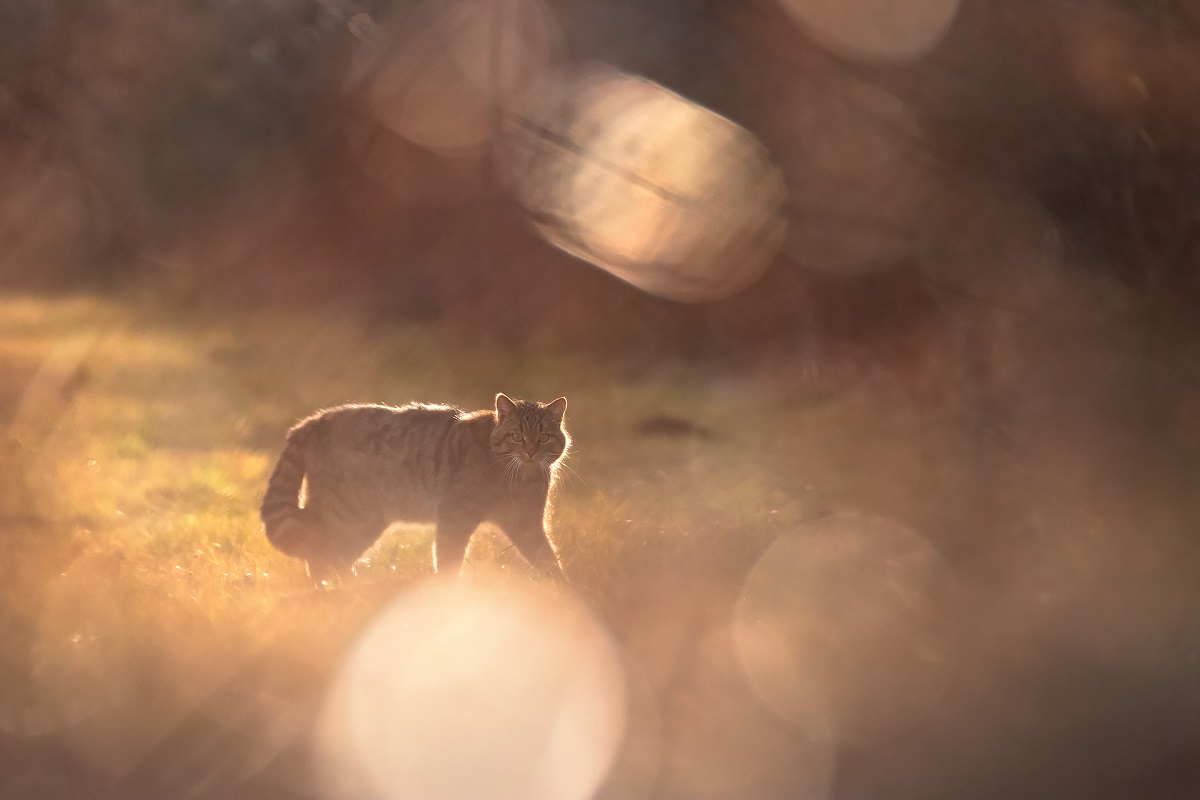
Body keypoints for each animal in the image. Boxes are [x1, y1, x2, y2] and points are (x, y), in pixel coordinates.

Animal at [260, 395, 568, 578]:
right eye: (517, 436)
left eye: (543, 437)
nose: (530, 452)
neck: (521, 479)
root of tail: (313, 420)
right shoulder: (454, 518)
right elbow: (448, 563)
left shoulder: (527, 525)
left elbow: (550, 562)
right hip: (344, 515)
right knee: (316, 551)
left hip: (363, 524)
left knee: (331, 556)